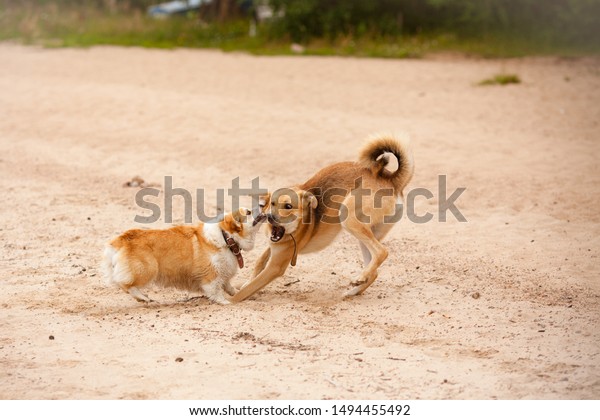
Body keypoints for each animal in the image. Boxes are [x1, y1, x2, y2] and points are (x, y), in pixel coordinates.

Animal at [102, 208, 264, 304]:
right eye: (248, 212)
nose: (262, 206)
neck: (226, 238)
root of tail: (120, 240)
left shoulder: (222, 272)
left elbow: (228, 285)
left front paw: (239, 293)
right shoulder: (211, 276)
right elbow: (216, 291)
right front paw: (226, 302)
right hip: (148, 269)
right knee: (125, 284)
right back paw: (144, 298)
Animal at [232, 133, 414, 300]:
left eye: (288, 206)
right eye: (272, 204)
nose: (269, 217)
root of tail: (390, 179)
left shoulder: (276, 266)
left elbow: (245, 291)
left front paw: (231, 298)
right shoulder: (273, 247)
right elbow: (259, 262)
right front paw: (247, 282)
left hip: (348, 218)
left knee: (382, 252)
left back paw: (361, 277)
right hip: (366, 234)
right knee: (375, 270)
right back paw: (354, 289)